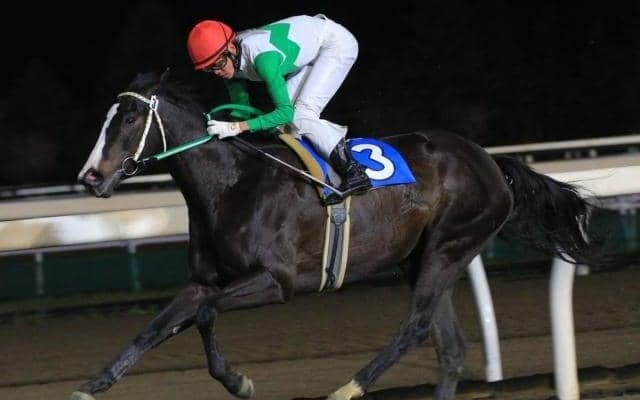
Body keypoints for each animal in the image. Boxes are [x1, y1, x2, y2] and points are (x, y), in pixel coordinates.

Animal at [73, 70, 606, 400]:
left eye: (130, 118)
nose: (90, 177)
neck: (232, 184)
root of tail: (491, 163)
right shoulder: (205, 281)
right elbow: (155, 328)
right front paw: (93, 385)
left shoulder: (277, 281)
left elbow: (205, 315)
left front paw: (239, 382)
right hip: (421, 257)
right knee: (450, 347)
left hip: (449, 247)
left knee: (416, 328)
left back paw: (347, 387)